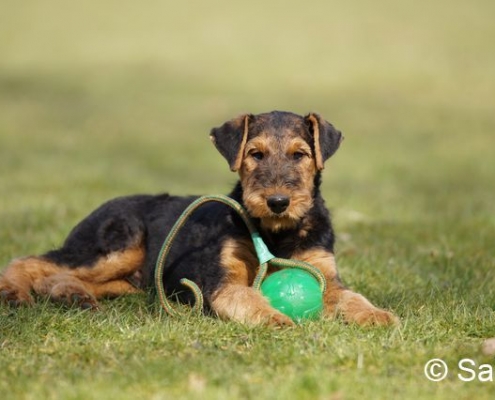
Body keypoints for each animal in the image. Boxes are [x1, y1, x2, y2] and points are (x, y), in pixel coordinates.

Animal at [0, 108, 398, 324]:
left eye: (300, 154)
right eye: (255, 154)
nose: (278, 201)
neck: (277, 233)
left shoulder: (326, 275)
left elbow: (351, 296)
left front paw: (378, 315)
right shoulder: (220, 281)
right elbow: (248, 298)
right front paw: (275, 318)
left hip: (129, 278)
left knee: (57, 275)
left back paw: (72, 296)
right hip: (114, 245)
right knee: (33, 261)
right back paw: (14, 292)